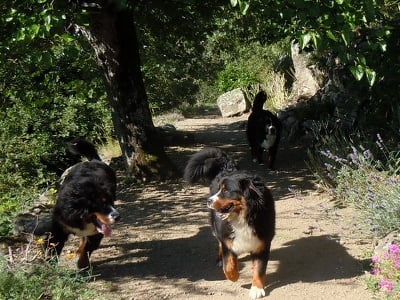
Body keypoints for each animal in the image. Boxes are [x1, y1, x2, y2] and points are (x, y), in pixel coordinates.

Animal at [184, 147, 276, 298]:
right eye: (219, 189)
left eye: (226, 191)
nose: (208, 201)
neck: (244, 217)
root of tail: (227, 166)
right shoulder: (228, 239)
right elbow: (228, 266)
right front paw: (234, 275)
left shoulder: (262, 242)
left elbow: (259, 268)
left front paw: (256, 288)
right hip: (215, 226)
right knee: (219, 243)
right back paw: (220, 259)